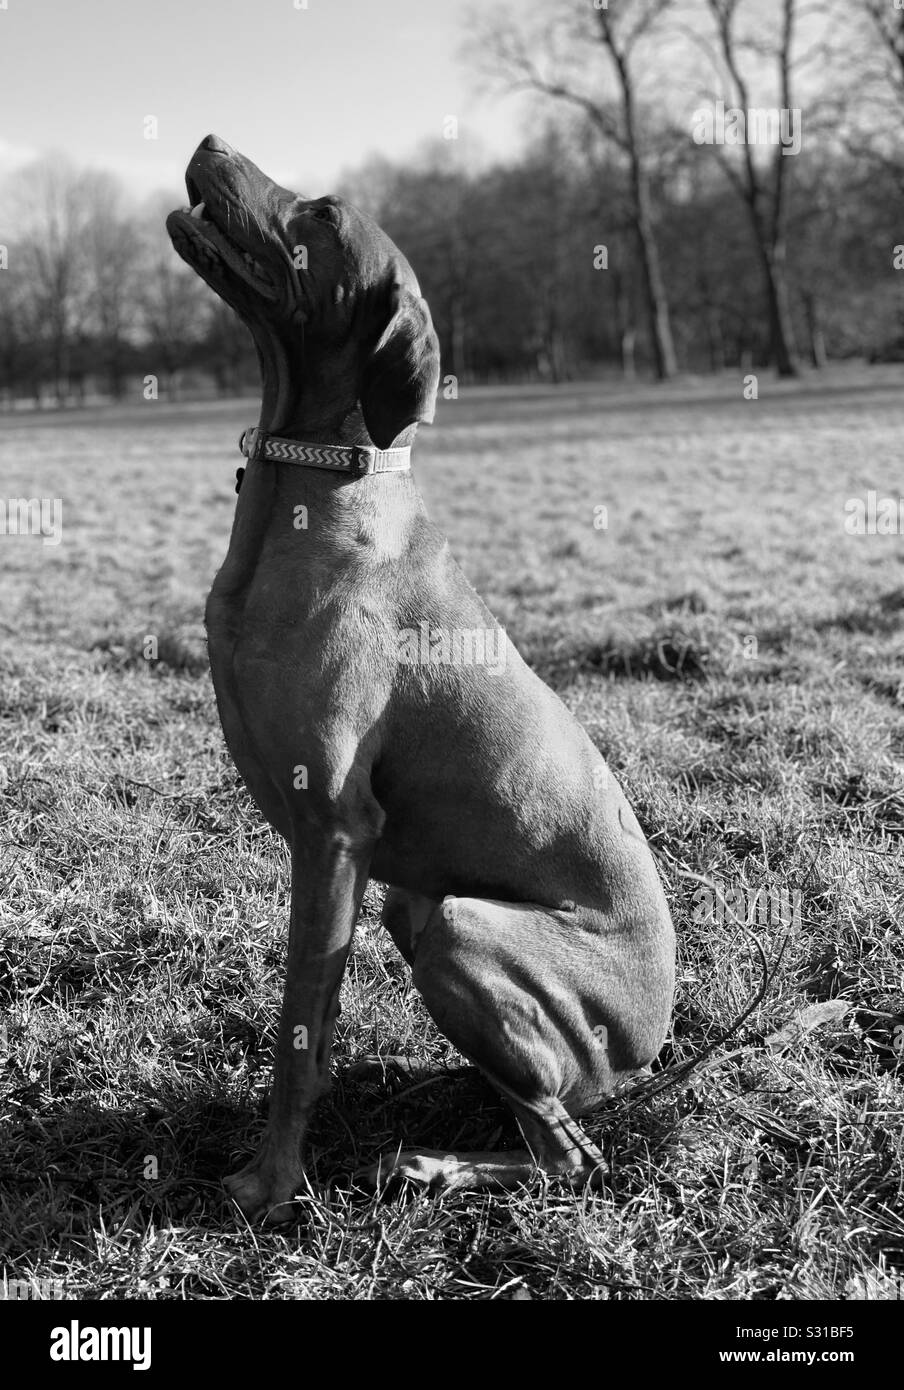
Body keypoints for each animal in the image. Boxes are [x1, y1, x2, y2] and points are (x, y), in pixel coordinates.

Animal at [165, 130, 673, 1217]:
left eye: (319, 214)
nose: (211, 141)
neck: (308, 490)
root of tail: (651, 1047)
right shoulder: (340, 850)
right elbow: (313, 1022)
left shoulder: (333, 825)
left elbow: (296, 1033)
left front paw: (269, 1186)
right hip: (418, 909)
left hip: (457, 926)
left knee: (573, 1155)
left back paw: (432, 1163)